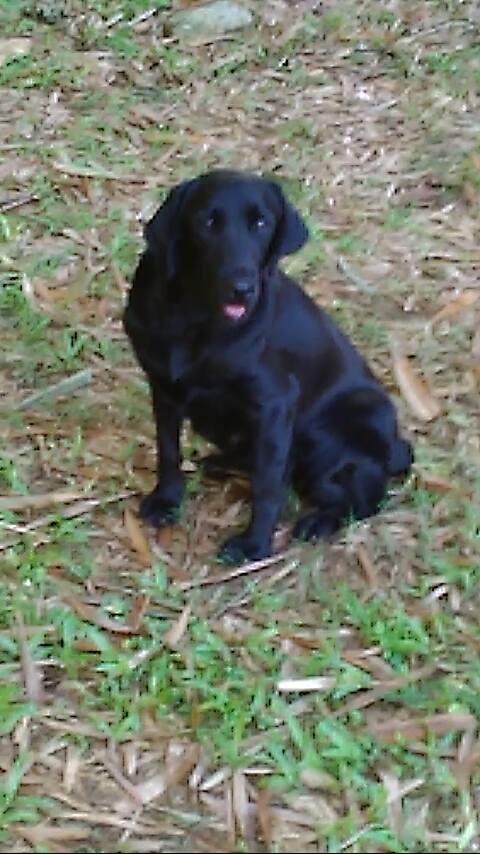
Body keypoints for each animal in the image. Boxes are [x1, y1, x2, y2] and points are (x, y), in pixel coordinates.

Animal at [124, 171, 412, 564]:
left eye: (261, 223)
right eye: (206, 221)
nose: (241, 288)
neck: (196, 318)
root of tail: (395, 449)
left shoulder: (273, 405)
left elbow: (268, 484)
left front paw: (255, 544)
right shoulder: (164, 389)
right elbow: (168, 452)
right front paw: (167, 501)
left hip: (329, 439)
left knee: (365, 501)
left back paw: (318, 522)